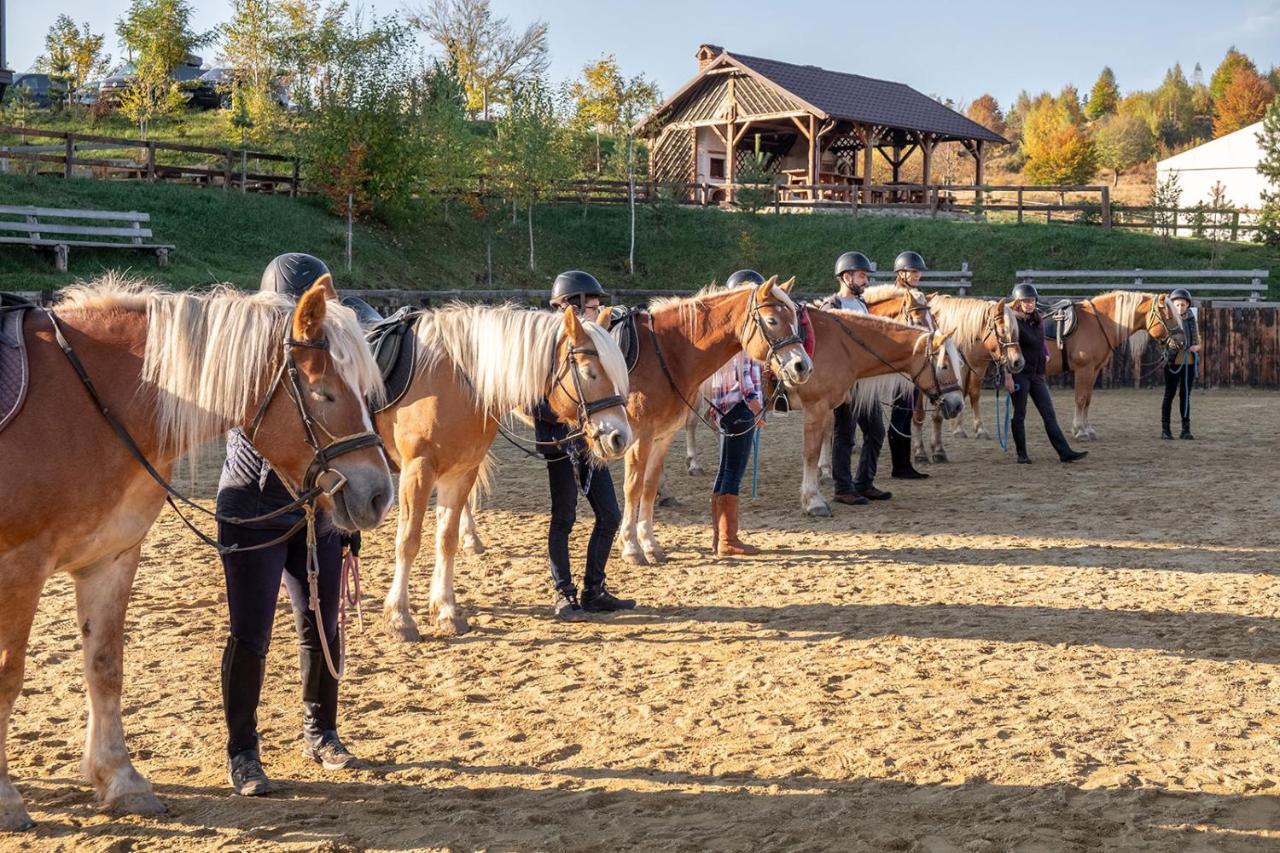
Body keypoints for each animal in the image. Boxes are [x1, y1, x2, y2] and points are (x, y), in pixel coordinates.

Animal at [0, 275, 391, 824]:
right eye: (323, 393)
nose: (378, 494)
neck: (81, 407)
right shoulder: (20, 565)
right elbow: (8, 675)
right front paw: (5, 798)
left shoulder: (109, 561)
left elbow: (106, 668)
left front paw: (121, 781)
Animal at [373, 303, 632, 637]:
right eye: (590, 373)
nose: (620, 438)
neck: (454, 378)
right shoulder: (417, 470)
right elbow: (408, 541)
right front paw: (399, 618)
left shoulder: (461, 473)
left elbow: (447, 540)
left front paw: (446, 611)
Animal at [793, 308, 962, 514]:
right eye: (944, 366)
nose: (958, 405)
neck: (843, 345)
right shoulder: (816, 406)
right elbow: (811, 453)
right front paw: (813, 501)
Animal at [916, 295, 1024, 458]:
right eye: (1002, 330)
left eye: (1017, 330)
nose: (1018, 362)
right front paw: (957, 429)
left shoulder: (976, 368)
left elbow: (972, 394)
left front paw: (979, 429)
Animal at [1039, 290, 1187, 438]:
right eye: (1169, 316)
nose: (1181, 342)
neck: (1096, 323)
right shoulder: (1084, 369)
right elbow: (1080, 398)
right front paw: (1080, 430)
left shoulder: (1094, 370)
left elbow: (1087, 399)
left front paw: (1087, 429)